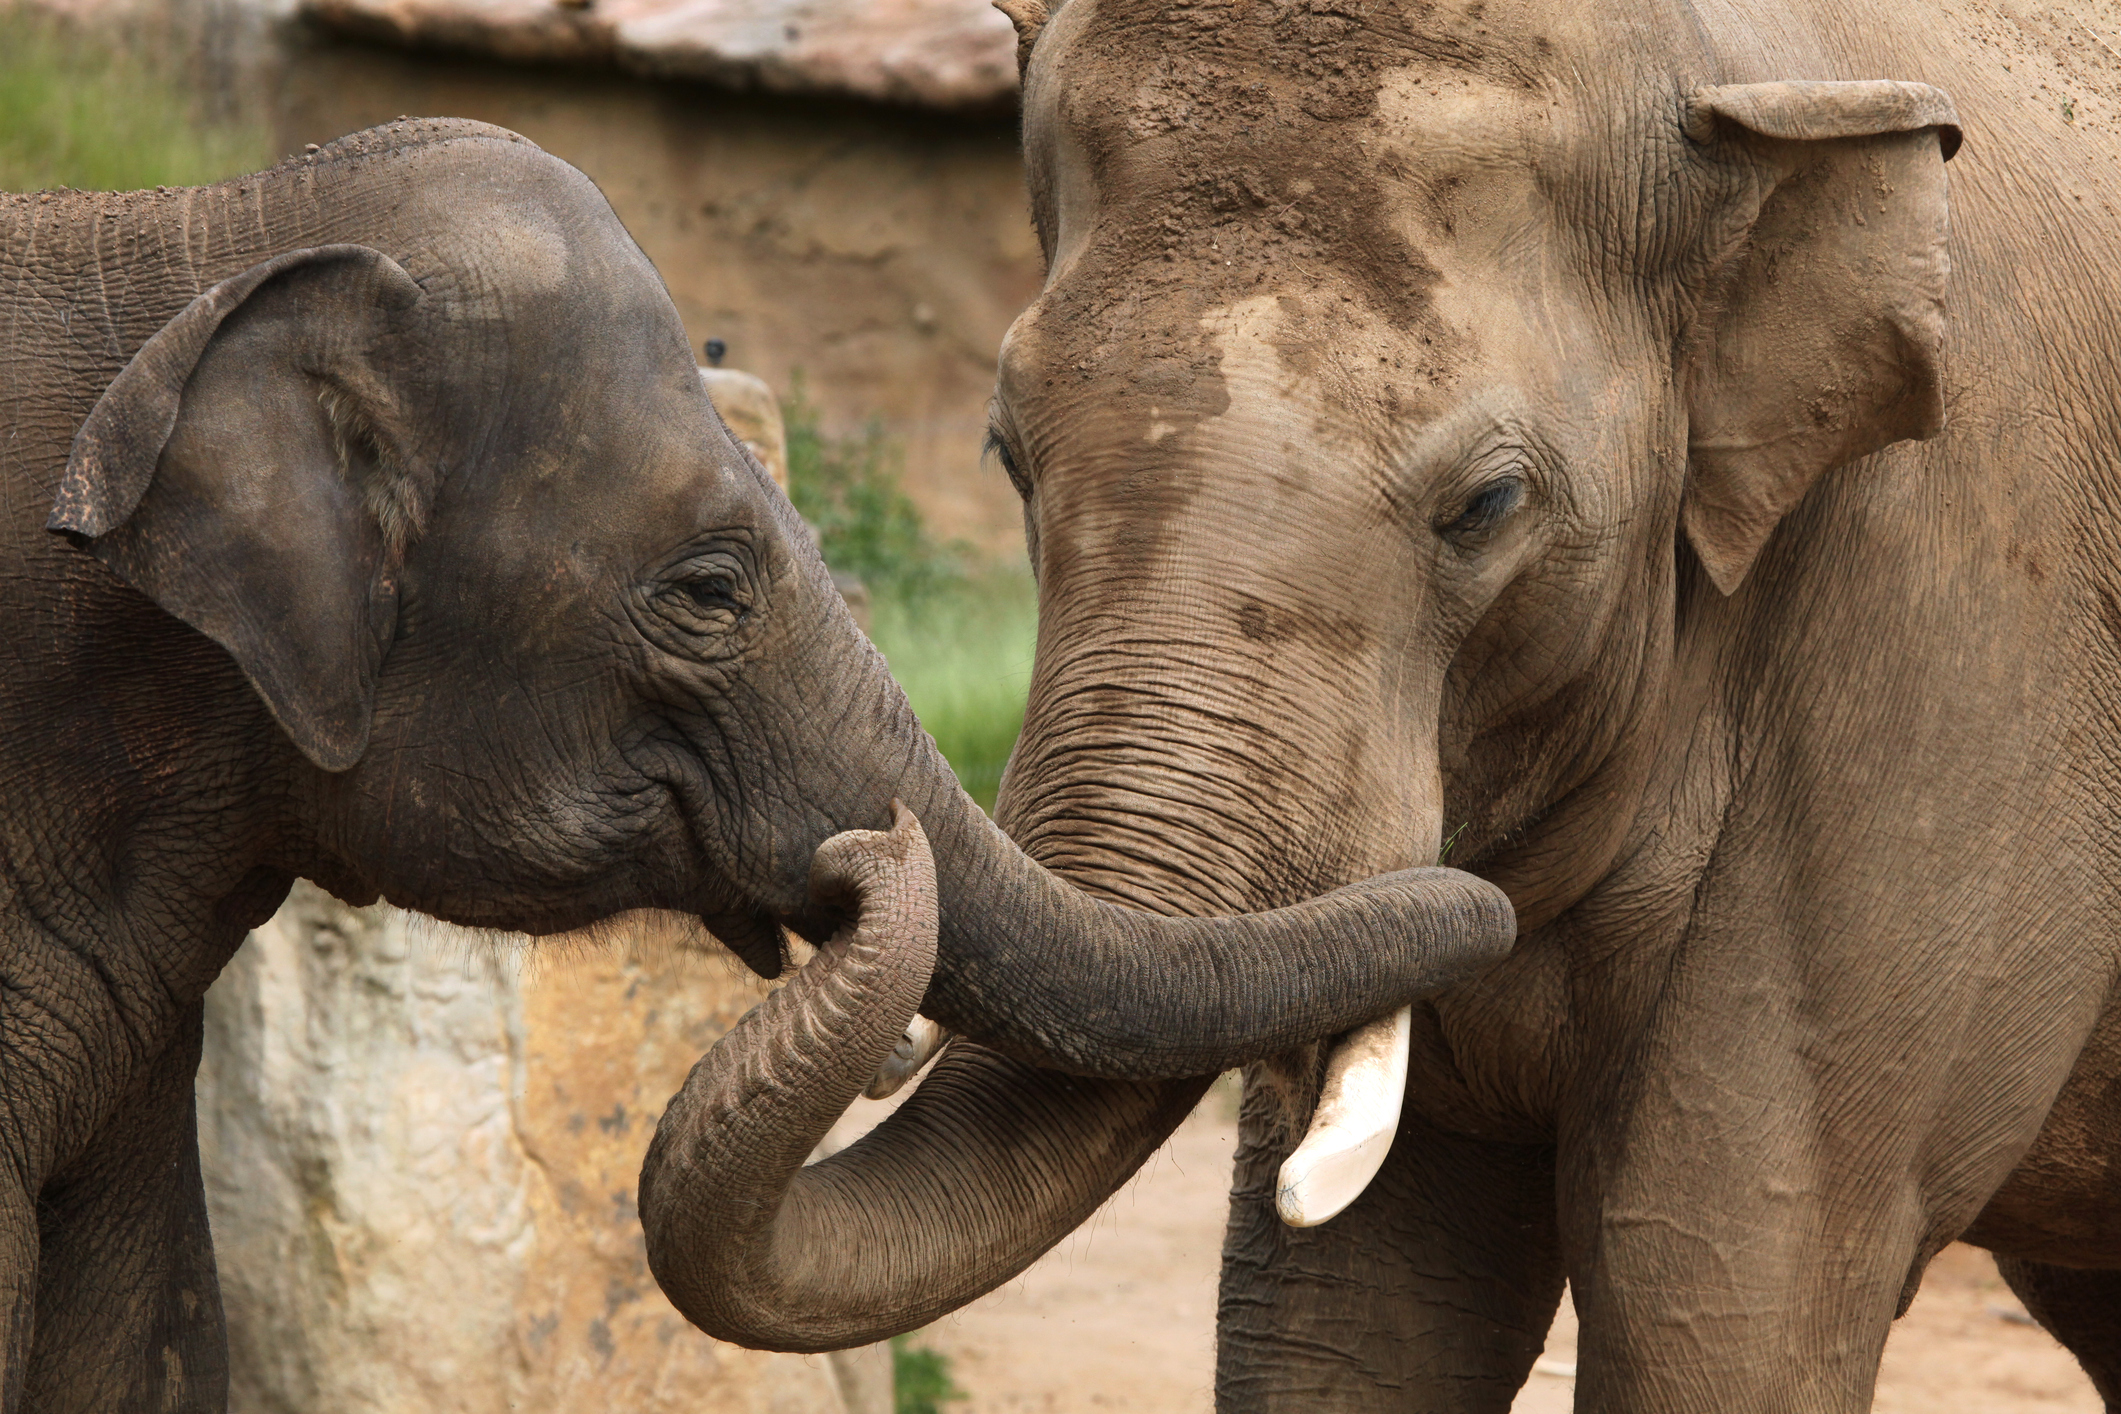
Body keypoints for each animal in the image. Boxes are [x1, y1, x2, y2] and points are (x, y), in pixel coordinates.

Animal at [636, 0, 2121, 1409]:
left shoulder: (1938, 639)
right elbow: (1349, 1310)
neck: (1731, 73)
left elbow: (1717, 1301)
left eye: (1489, 505)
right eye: (1007, 452)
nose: (860, 854)